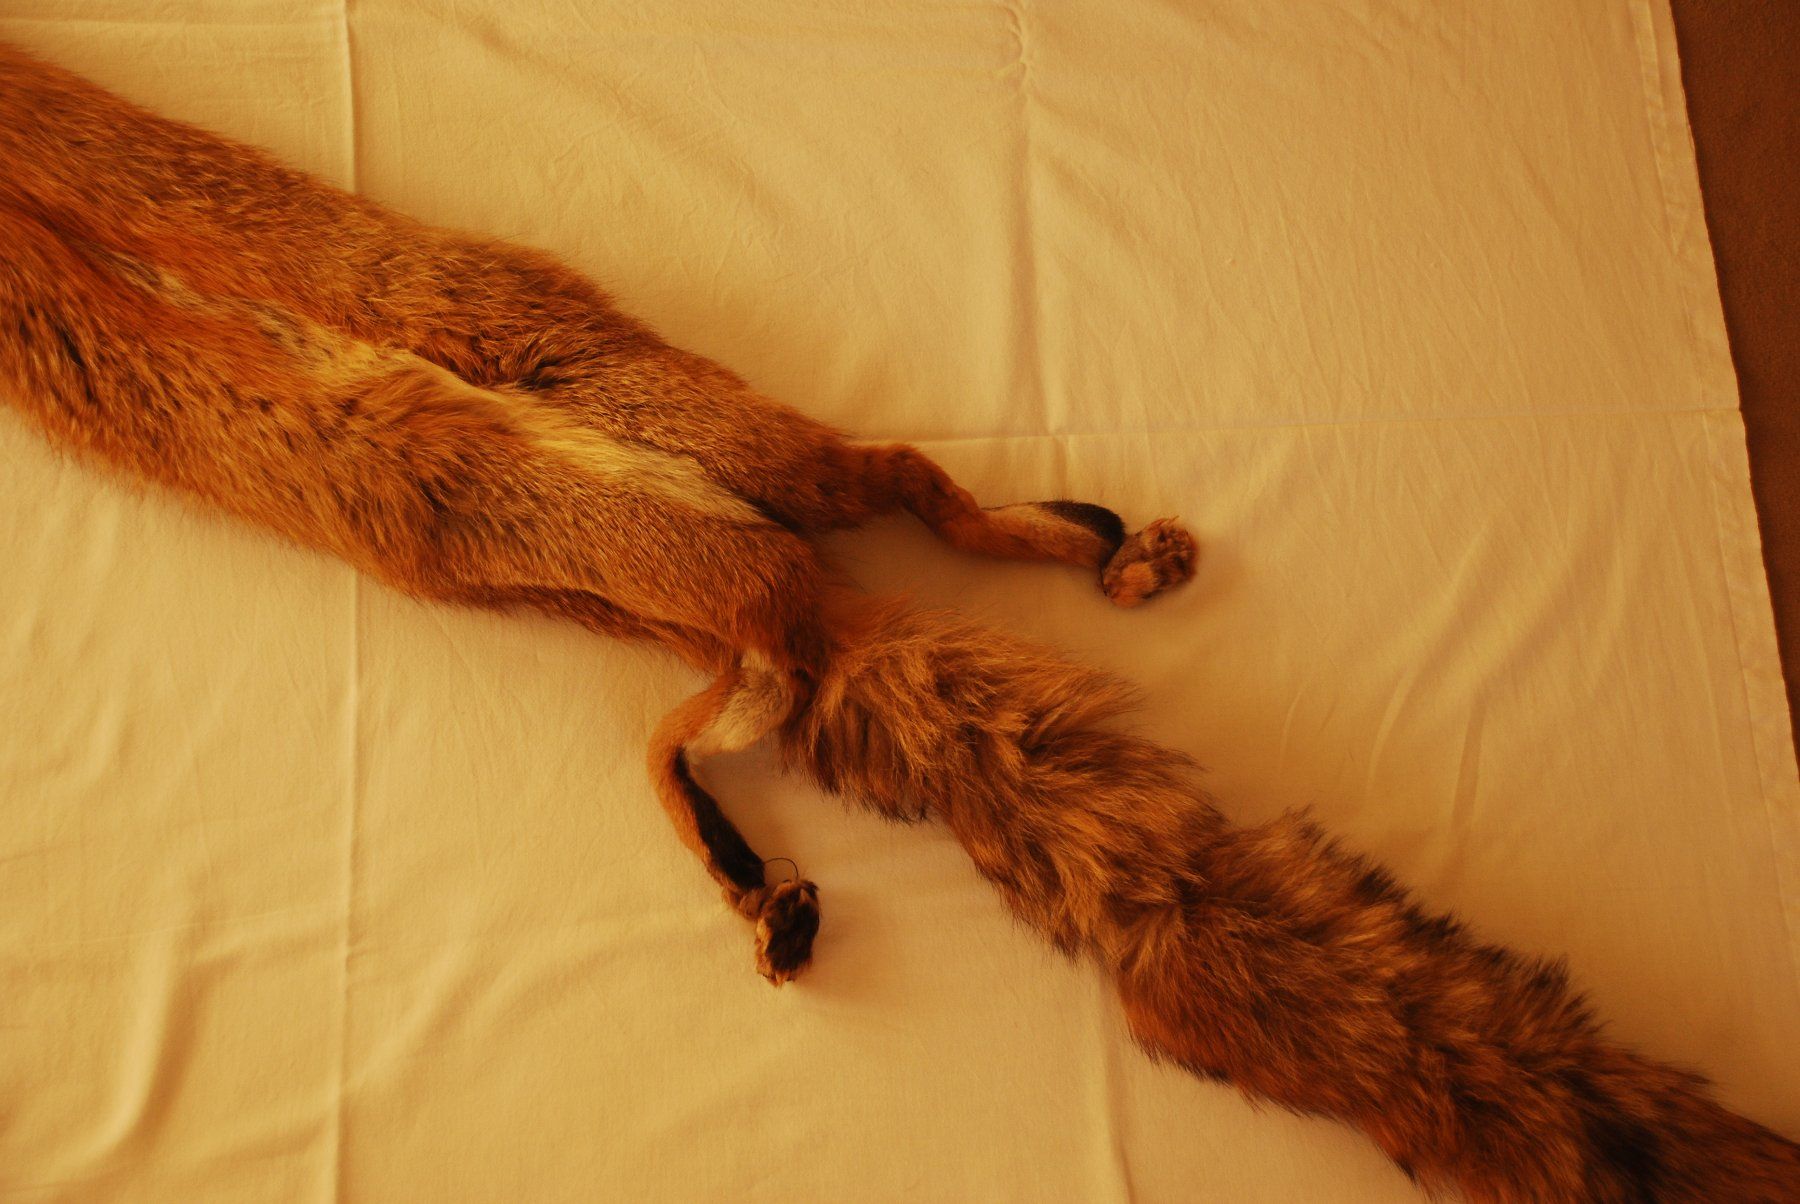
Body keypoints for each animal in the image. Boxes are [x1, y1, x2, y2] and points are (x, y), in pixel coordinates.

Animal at [2, 41, 1796, 1203]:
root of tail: (801, 589)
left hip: (652, 528)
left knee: (735, 691)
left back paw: (771, 862)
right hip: (733, 482)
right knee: (912, 495)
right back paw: (1090, 559)